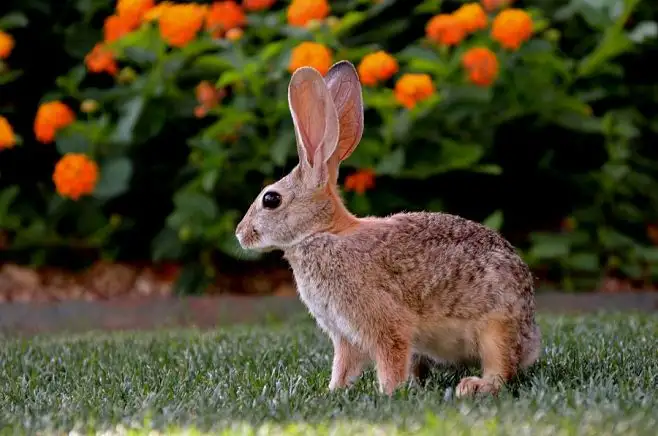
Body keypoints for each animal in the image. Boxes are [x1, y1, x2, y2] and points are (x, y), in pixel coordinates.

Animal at [234, 59, 540, 396]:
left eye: (271, 199)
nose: (240, 234)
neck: (323, 233)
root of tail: (531, 339)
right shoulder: (345, 335)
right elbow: (344, 364)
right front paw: (334, 391)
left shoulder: (381, 322)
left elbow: (389, 355)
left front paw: (388, 394)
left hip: (496, 327)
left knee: (502, 368)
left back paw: (474, 386)